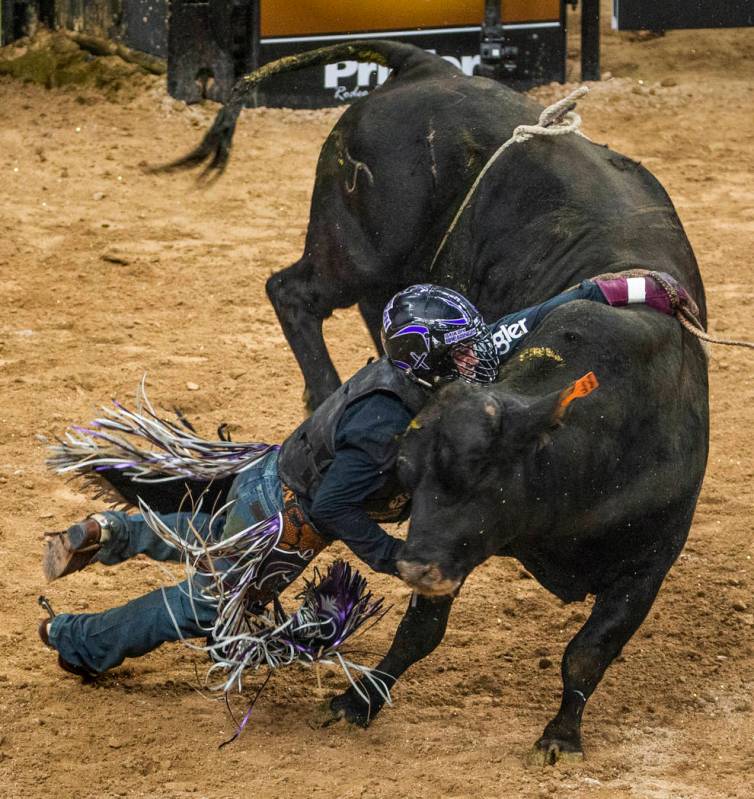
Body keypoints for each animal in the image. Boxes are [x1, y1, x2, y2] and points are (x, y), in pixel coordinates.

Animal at [163, 42, 704, 764]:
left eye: (489, 481)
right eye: (414, 477)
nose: (414, 564)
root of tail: (427, 65)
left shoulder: (649, 561)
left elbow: (588, 652)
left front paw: (561, 734)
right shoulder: (453, 545)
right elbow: (423, 629)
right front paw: (360, 700)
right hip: (360, 252)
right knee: (292, 290)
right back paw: (321, 386)